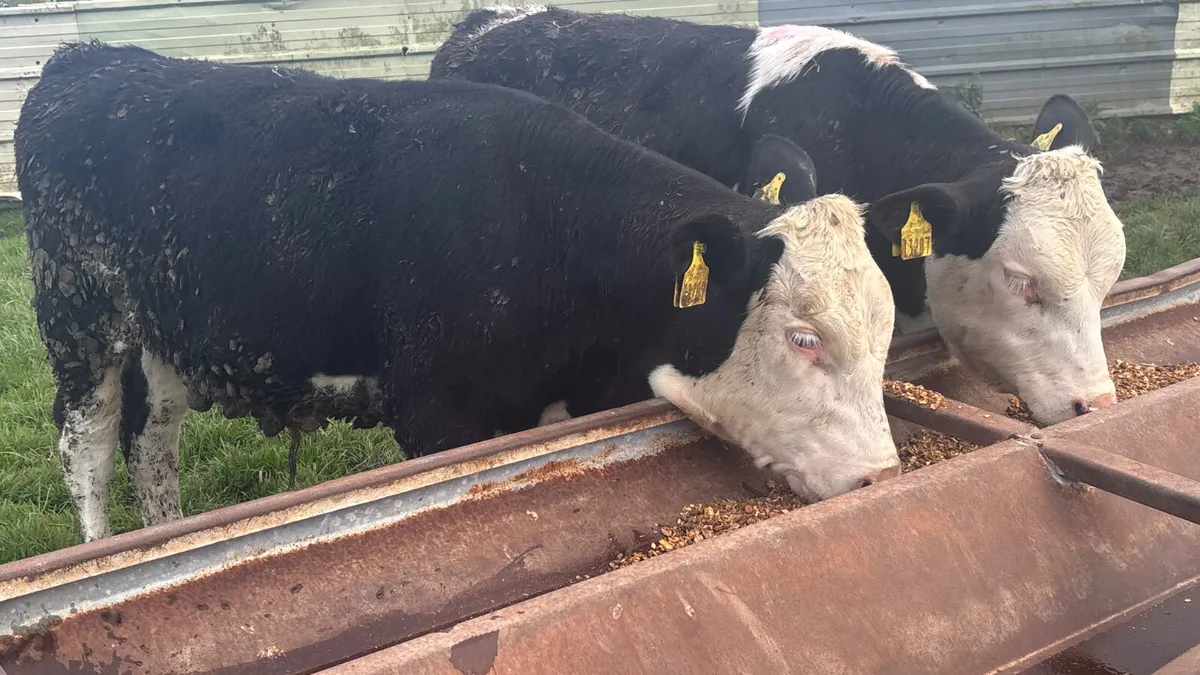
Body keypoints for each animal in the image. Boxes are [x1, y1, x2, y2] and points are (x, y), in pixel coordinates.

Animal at [17, 41, 898, 542]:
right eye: (804, 338)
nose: (880, 478)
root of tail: (90, 57)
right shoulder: (440, 413)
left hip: (164, 338)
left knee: (152, 447)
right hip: (79, 324)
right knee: (90, 451)